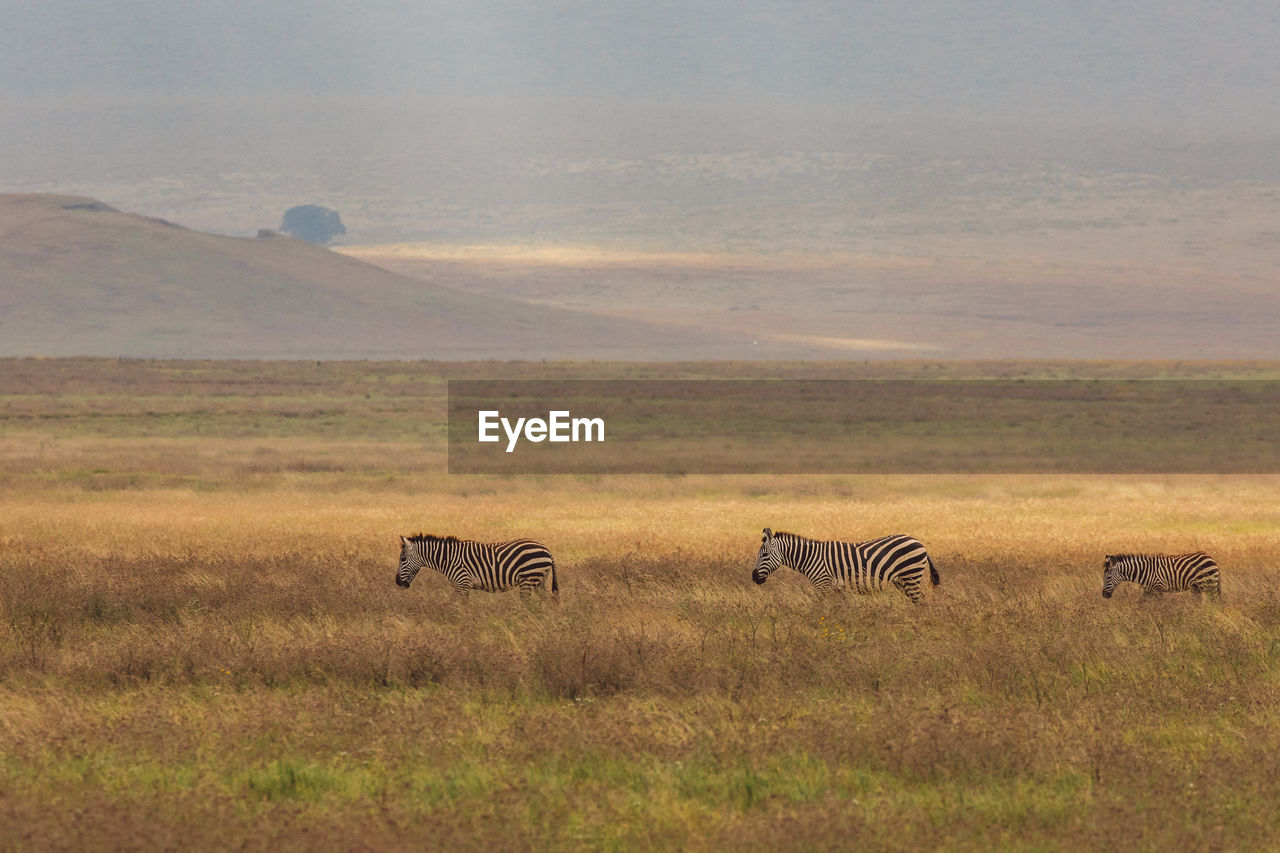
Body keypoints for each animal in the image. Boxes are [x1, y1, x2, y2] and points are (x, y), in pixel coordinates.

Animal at [396, 527, 558, 594]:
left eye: (403, 559)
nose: (398, 583)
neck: (448, 559)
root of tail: (547, 550)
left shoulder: (462, 584)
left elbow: (453, 605)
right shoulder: (464, 586)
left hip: (528, 579)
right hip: (540, 581)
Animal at [747, 522, 942, 601]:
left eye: (764, 555)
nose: (754, 578)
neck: (811, 557)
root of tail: (920, 543)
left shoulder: (822, 584)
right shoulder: (836, 588)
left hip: (911, 575)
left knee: (918, 599)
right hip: (902, 580)